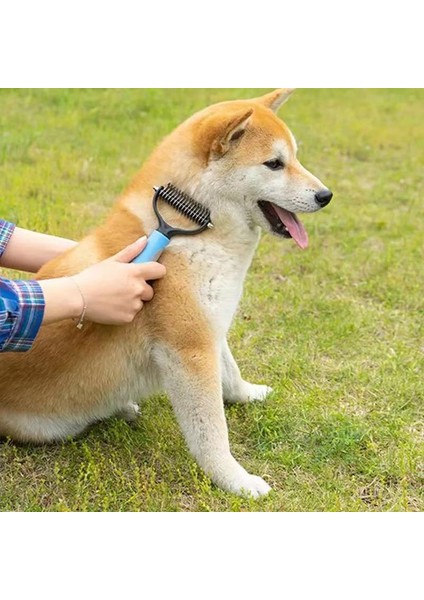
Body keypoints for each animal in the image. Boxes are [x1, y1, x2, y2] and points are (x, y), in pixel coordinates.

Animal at [0, 90, 332, 496]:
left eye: (295, 157)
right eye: (274, 164)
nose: (326, 195)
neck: (194, 224)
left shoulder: (210, 326)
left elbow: (231, 372)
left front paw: (247, 393)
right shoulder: (189, 349)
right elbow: (212, 433)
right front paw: (235, 480)